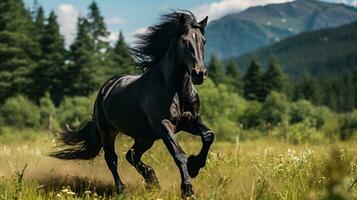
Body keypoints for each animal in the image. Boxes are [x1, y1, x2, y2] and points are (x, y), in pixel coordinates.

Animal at [50, 10, 214, 197]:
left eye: (203, 41)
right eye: (185, 41)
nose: (199, 74)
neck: (176, 90)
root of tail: (105, 88)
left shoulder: (190, 120)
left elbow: (208, 135)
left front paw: (195, 165)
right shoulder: (164, 125)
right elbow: (179, 154)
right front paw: (187, 189)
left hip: (146, 137)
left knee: (132, 155)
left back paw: (152, 180)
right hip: (108, 131)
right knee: (112, 159)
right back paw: (122, 189)